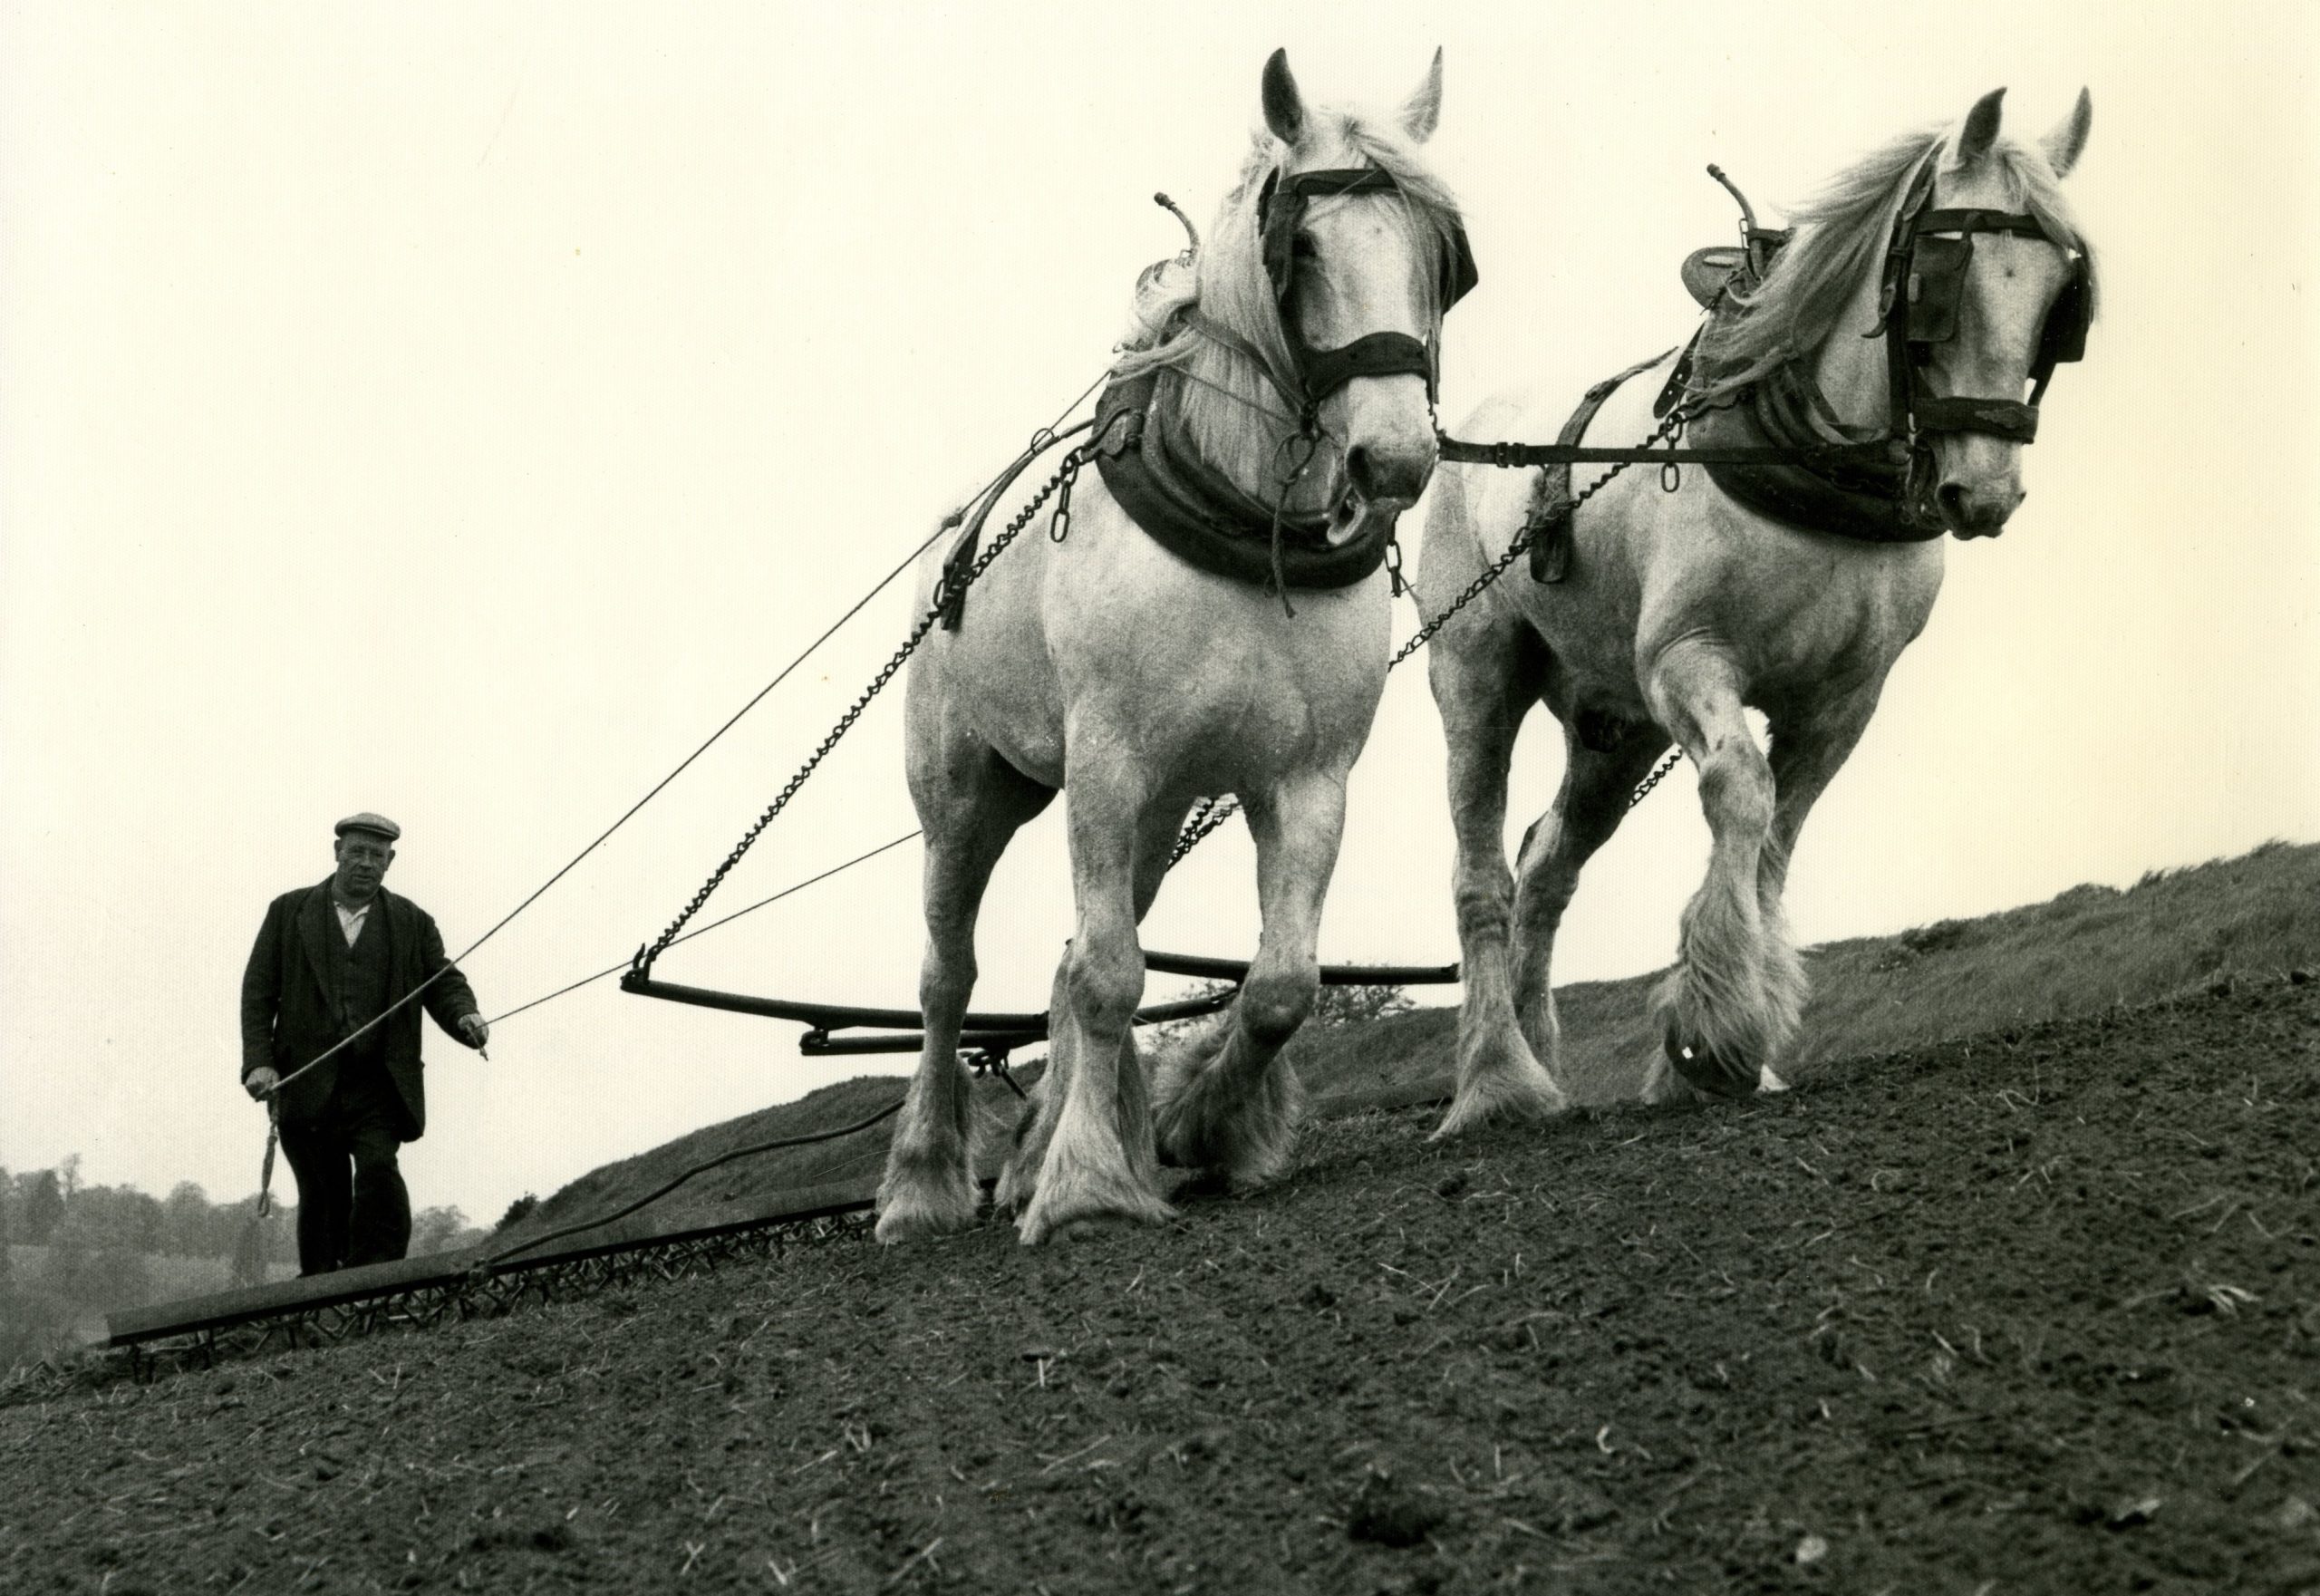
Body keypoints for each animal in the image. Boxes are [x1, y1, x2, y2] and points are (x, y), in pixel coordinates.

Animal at [876, 53, 1475, 1243]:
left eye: (1440, 255)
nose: (1392, 461)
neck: (1242, 523)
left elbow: (1280, 984)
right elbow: (1112, 977)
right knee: (947, 978)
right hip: (970, 796)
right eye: (1303, 249)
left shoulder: (1304, 780)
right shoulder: (1107, 764)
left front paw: (1197, 1131)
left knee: (1062, 960)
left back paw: (1038, 1151)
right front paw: (1088, 1187)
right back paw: (926, 1180)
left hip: (1155, 813)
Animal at [1410, 90, 2106, 1137]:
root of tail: (1477, 439)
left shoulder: (1842, 702)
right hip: (1476, 678)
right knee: (1480, 869)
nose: (1983, 493)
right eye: (1940, 276)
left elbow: (1779, 838)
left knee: (1546, 866)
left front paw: (1732, 1041)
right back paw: (1497, 1081)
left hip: (1613, 731)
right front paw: (1712, 1037)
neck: (1815, 462)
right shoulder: (1685, 660)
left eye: (2063, 301)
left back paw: (1539, 1056)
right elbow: (1741, 792)